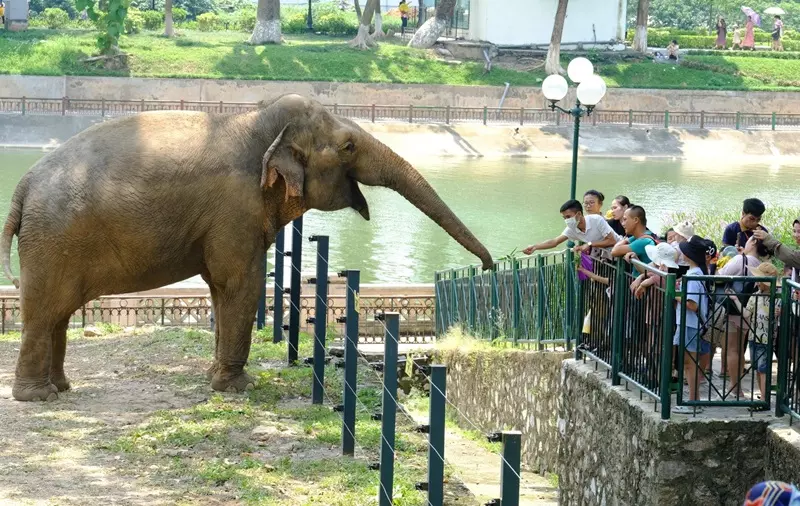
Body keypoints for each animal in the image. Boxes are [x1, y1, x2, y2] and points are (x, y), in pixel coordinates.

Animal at [0, 94, 494, 404]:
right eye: (349, 145)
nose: (488, 265)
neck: (256, 121)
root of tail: (23, 186)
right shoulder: (236, 208)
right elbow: (242, 281)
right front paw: (239, 388)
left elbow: (221, 287)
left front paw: (215, 379)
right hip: (53, 240)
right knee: (44, 313)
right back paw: (39, 397)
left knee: (57, 314)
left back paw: (61, 388)